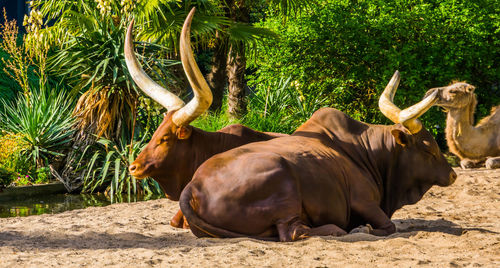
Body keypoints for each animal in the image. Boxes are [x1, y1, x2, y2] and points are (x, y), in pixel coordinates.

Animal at [180, 70, 458, 241]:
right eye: (428, 147)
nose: (453, 174)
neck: (367, 152)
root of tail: (193, 185)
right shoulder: (363, 201)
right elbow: (388, 226)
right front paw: (363, 227)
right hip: (282, 180)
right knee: (293, 231)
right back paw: (337, 229)